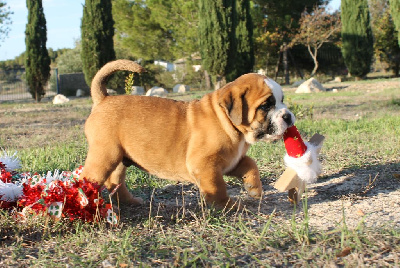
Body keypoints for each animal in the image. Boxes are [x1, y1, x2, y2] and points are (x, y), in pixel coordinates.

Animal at [80, 59, 294, 208]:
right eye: (266, 106)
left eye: (282, 100)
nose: (289, 116)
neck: (226, 122)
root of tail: (104, 99)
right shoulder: (205, 165)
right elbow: (217, 186)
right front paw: (227, 205)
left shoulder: (231, 161)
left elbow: (250, 163)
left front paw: (254, 188)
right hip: (104, 156)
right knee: (89, 178)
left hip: (119, 159)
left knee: (114, 182)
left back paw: (129, 202)